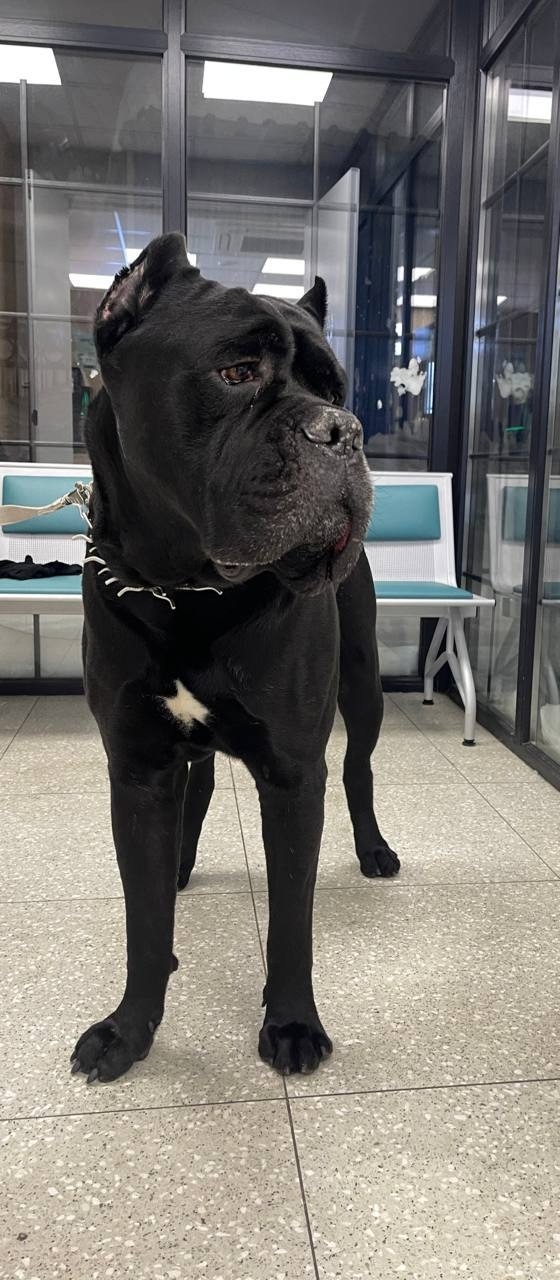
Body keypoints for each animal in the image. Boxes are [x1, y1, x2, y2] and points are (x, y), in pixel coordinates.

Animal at [70, 233, 400, 1084]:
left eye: (336, 386)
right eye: (236, 372)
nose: (342, 429)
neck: (187, 589)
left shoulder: (292, 773)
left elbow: (291, 921)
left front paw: (292, 1026)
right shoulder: (136, 767)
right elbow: (144, 919)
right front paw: (129, 1031)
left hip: (363, 690)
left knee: (359, 769)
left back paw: (374, 849)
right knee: (201, 782)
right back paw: (182, 863)